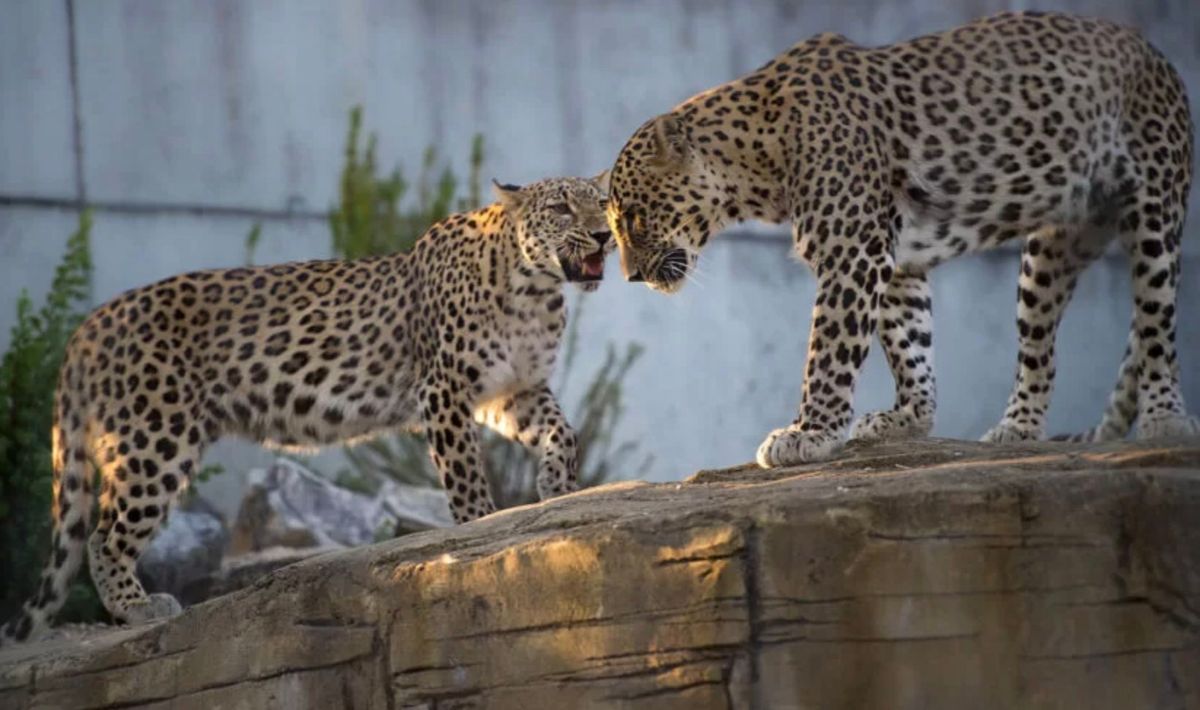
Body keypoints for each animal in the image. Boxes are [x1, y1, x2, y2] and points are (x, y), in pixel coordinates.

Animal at [2, 173, 609, 642]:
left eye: (600, 201)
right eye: (560, 207)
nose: (605, 232)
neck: (534, 291)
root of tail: (86, 328)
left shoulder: (513, 392)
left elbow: (564, 431)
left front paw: (558, 487)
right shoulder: (444, 389)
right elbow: (464, 474)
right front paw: (481, 526)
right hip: (157, 436)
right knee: (104, 535)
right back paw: (137, 607)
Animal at [609, 11, 1200, 467]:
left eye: (635, 218)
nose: (631, 277)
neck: (757, 157)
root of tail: (1154, 51)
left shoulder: (852, 253)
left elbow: (829, 352)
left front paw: (808, 433)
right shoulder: (893, 257)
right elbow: (910, 345)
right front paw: (909, 420)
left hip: (1153, 212)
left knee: (1156, 326)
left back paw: (1166, 419)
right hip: (1049, 254)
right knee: (1040, 349)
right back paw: (1016, 429)